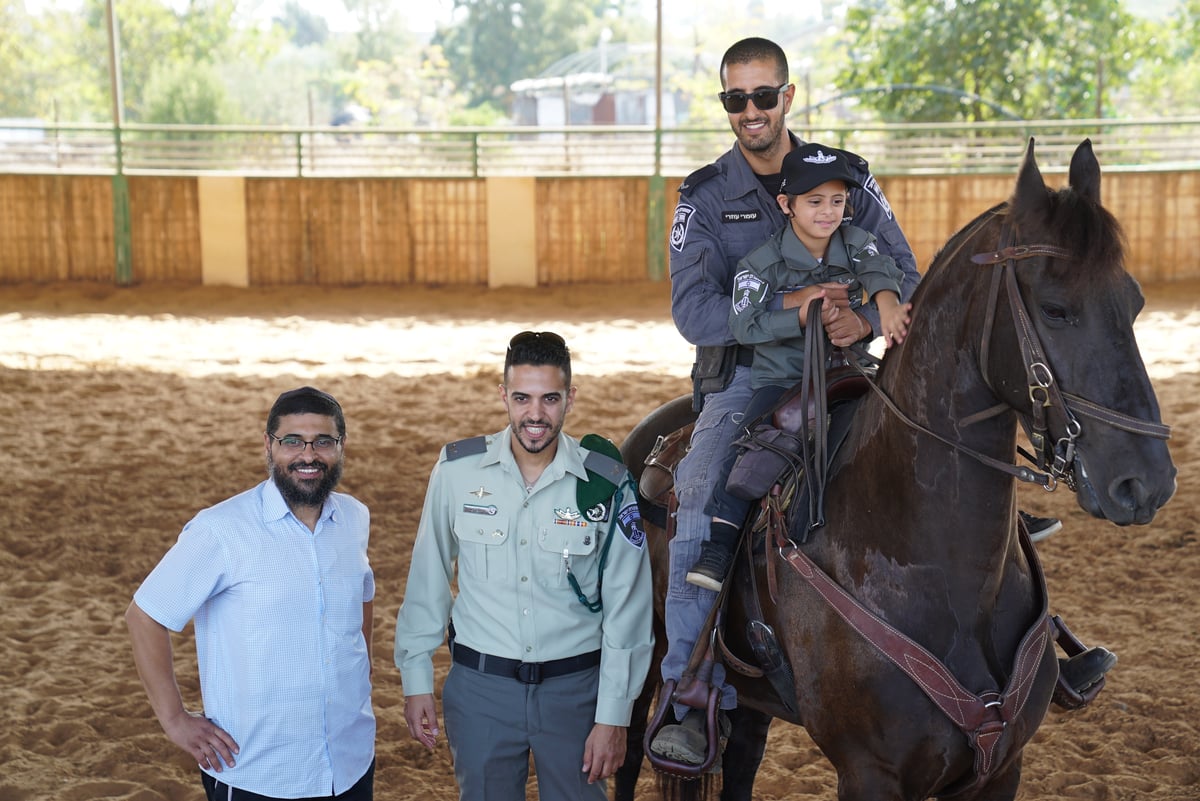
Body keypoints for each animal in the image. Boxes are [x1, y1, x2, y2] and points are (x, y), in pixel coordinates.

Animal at [614, 140, 1176, 796]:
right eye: (1057, 310)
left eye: (1134, 301)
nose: (1146, 481)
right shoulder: (870, 773)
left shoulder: (1003, 766)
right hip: (643, 666)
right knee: (628, 749)